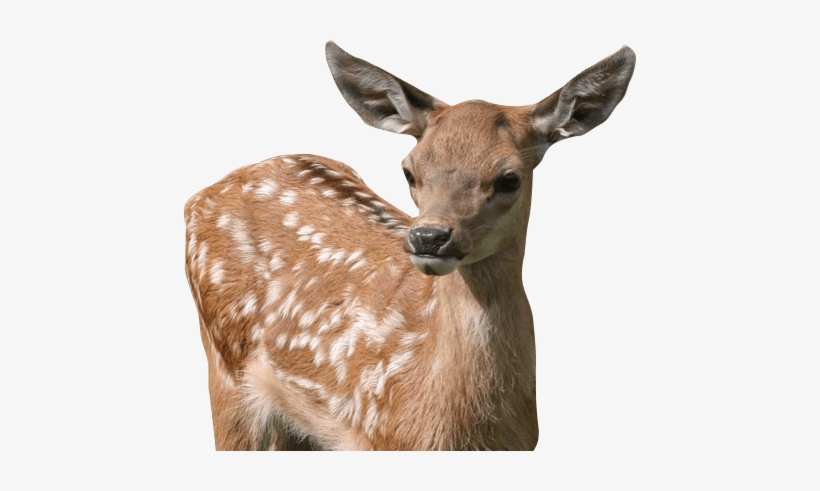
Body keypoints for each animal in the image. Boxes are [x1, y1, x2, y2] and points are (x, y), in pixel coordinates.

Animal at [184, 41, 635, 450]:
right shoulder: (377, 439)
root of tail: (199, 196)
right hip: (226, 372)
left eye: (510, 178)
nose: (428, 237)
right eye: (409, 170)